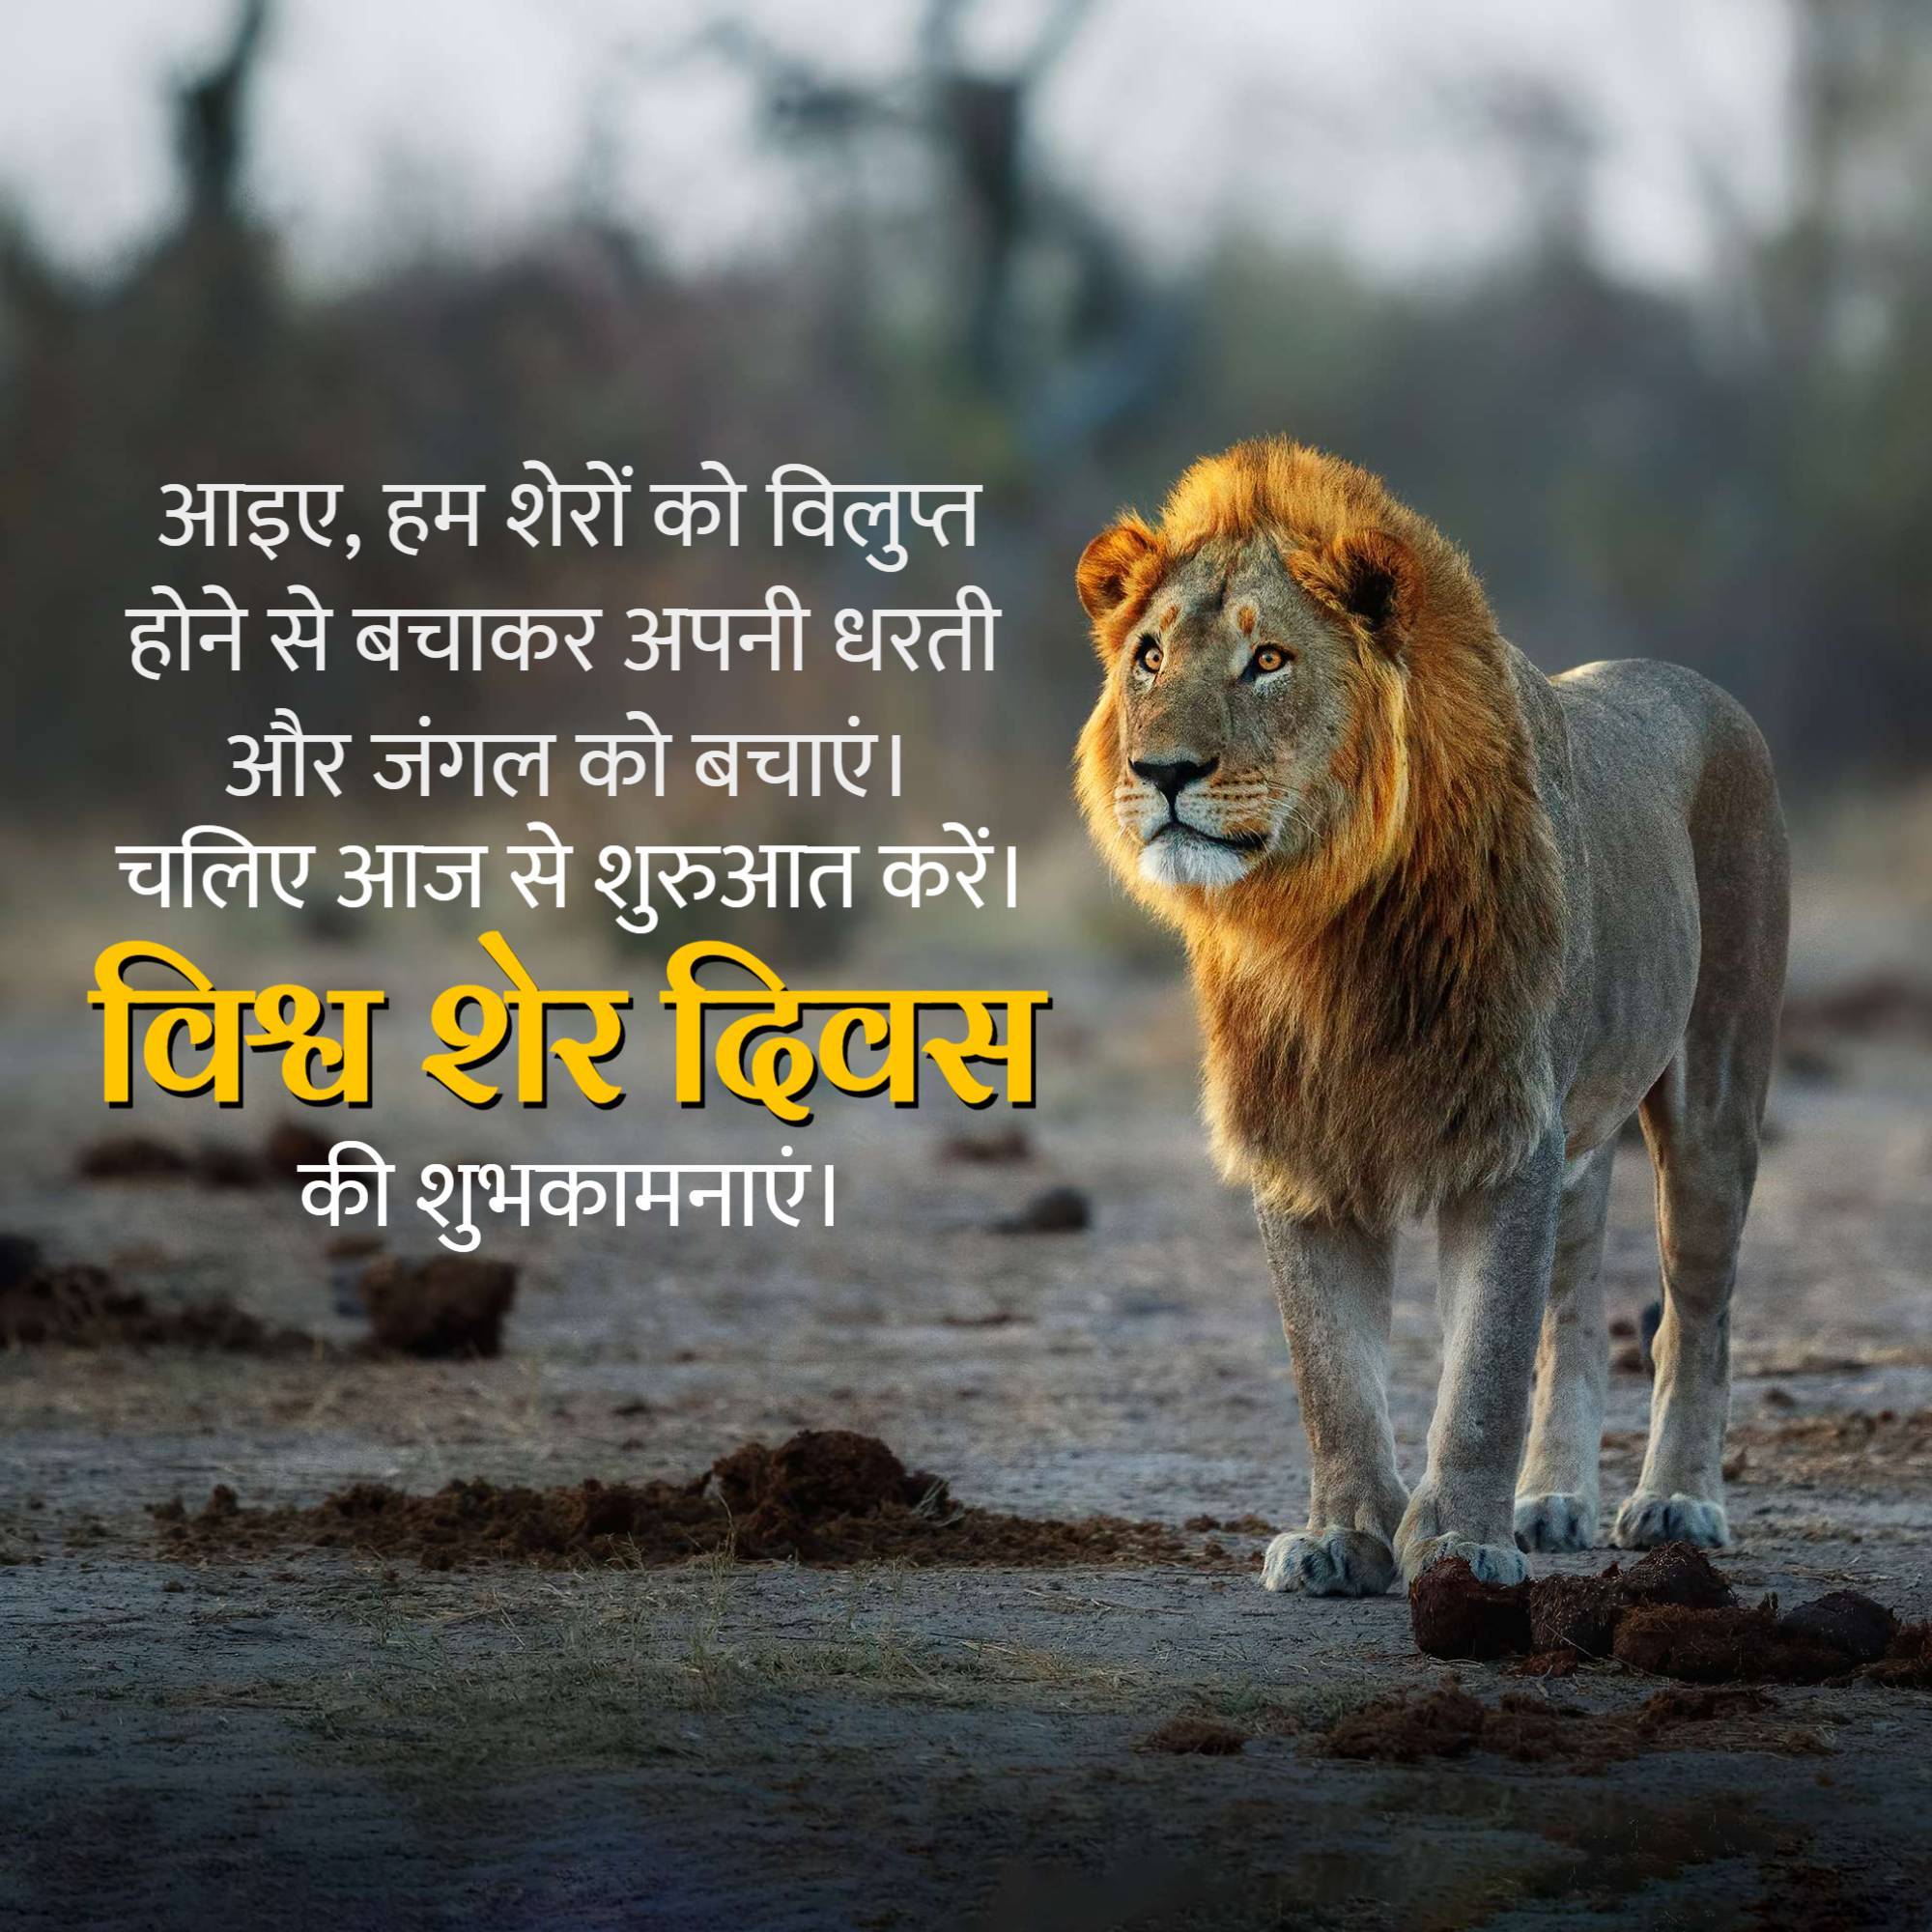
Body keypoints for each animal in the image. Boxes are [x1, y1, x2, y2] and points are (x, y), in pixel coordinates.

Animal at [1074, 437, 1788, 1594]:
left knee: (1695, 1313)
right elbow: (1332, 1370)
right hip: (1581, 1138)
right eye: (1147, 657)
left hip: (1714, 1095)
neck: (1320, 926)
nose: (1161, 770)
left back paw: (1675, 1503)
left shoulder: (1505, 1134)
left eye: (1266, 660)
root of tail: (1692, 683)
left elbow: (1482, 1370)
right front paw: (1342, 1536)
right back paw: (1550, 1504)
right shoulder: (1300, 1142)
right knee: (1573, 1309)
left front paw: (1456, 1543)